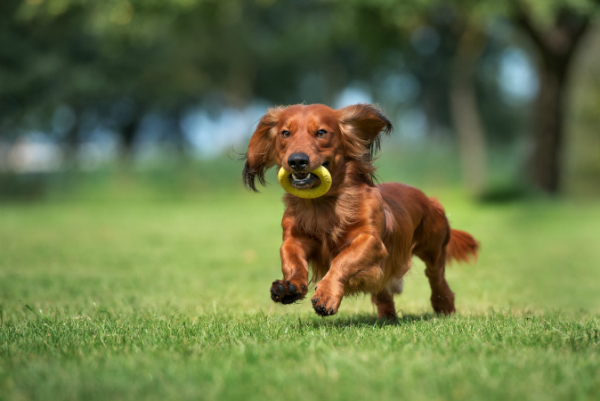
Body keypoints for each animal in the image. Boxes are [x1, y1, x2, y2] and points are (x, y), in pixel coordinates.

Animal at [243, 103, 478, 318]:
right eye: (285, 133)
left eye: (321, 132)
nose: (297, 161)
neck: (324, 205)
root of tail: (430, 199)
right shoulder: (293, 239)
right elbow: (293, 260)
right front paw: (290, 286)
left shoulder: (371, 241)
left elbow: (341, 260)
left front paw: (326, 295)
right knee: (383, 293)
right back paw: (387, 317)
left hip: (433, 250)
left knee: (436, 278)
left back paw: (444, 306)